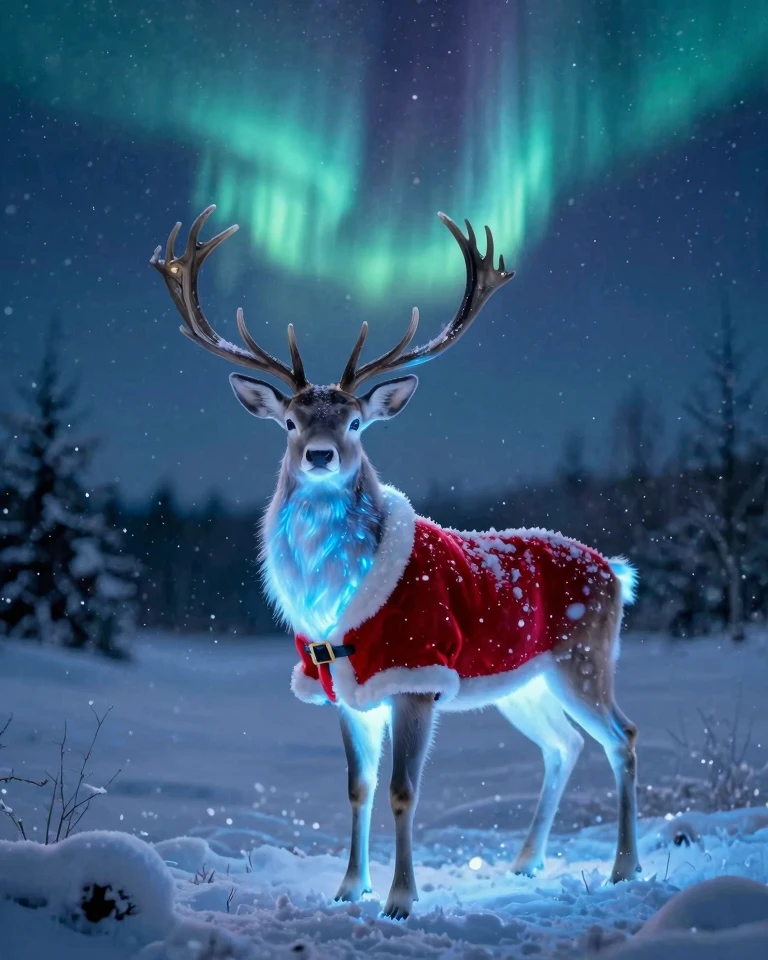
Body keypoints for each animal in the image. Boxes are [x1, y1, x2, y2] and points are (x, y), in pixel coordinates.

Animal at [150, 205, 641, 920]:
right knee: (564, 744)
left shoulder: (416, 676)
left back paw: (625, 869)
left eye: (356, 422)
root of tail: (617, 572)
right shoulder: (342, 689)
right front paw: (347, 888)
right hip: (523, 680)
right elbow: (357, 789)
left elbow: (403, 791)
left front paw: (401, 899)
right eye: (290, 421)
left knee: (622, 737)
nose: (320, 454)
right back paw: (526, 862)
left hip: (583, 657)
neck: (332, 601)